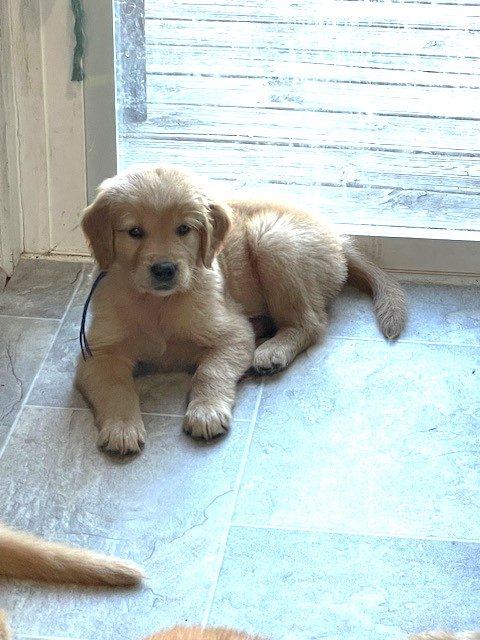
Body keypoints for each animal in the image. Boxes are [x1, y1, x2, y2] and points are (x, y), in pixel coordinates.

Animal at [77, 165, 406, 456]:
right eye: (134, 231)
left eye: (184, 229)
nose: (165, 269)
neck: (157, 303)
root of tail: (337, 237)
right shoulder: (98, 353)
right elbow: (116, 387)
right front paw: (122, 428)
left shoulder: (231, 333)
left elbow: (210, 371)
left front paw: (206, 411)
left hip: (272, 239)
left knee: (310, 323)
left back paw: (272, 351)